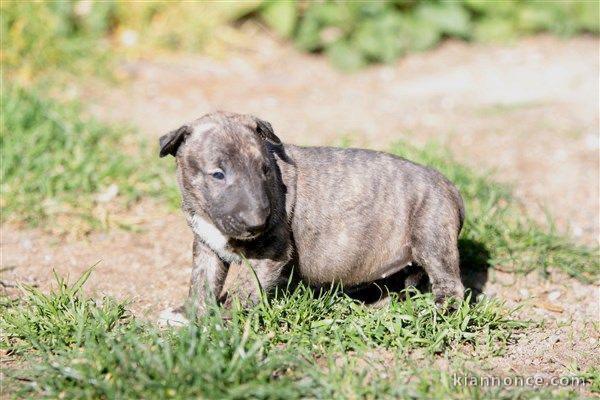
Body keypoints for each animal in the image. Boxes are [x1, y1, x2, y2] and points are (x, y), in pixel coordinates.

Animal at [158, 111, 464, 322]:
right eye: (218, 174)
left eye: (264, 169)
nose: (258, 223)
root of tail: (450, 186)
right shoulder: (207, 247)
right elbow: (201, 282)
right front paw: (188, 314)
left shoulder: (270, 252)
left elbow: (244, 289)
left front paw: (222, 321)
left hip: (432, 235)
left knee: (451, 285)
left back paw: (434, 314)